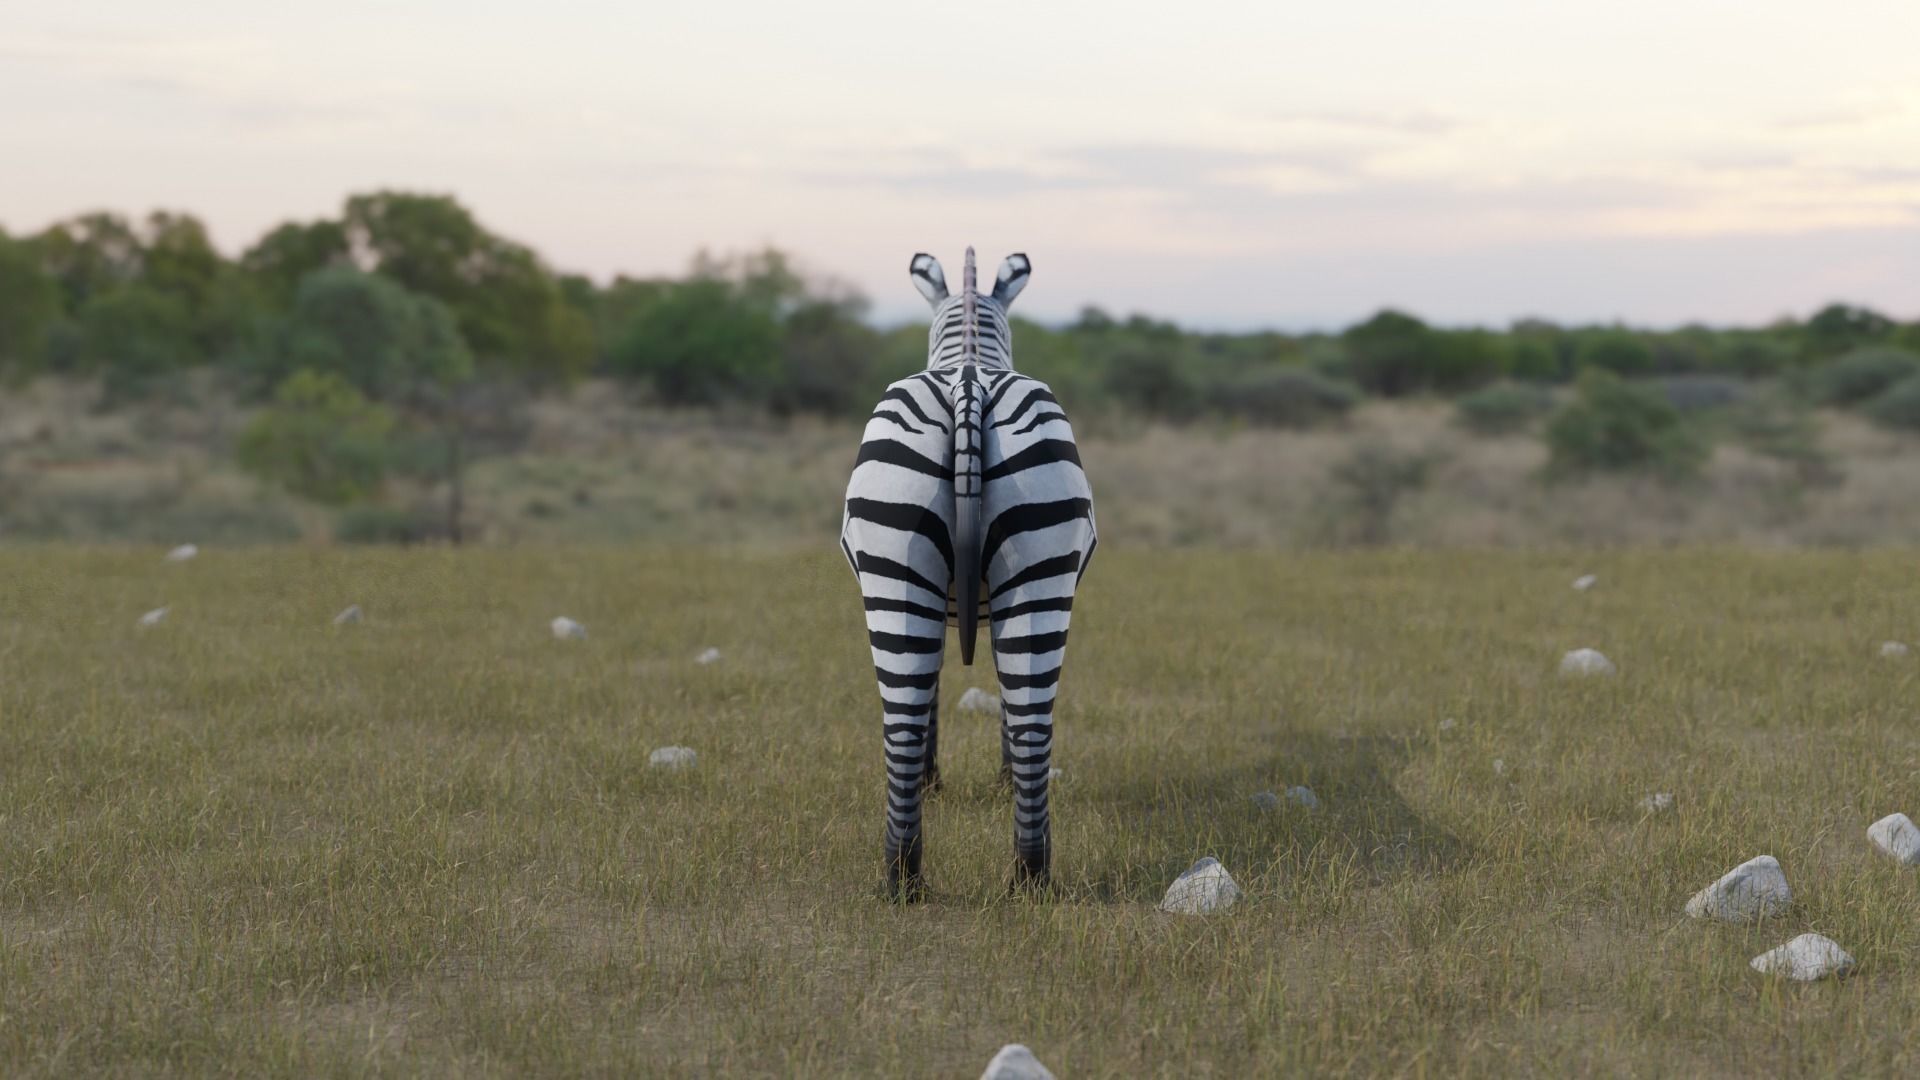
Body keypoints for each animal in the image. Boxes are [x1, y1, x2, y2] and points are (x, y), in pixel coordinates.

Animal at [840, 248, 1097, 900]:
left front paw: (942, 780)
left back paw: (912, 879)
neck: (968, 354)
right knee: (1025, 721)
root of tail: (969, 385)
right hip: (1028, 577)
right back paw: (1015, 876)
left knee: (910, 721)